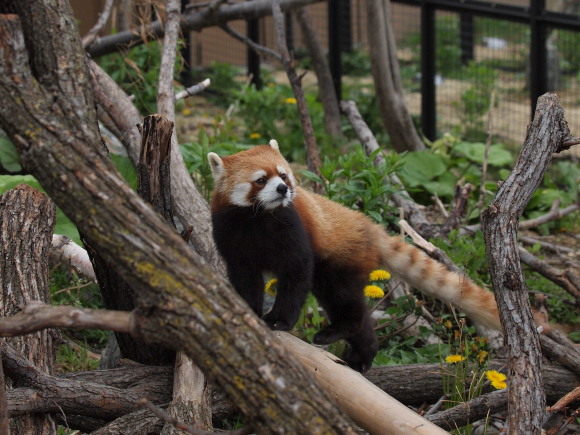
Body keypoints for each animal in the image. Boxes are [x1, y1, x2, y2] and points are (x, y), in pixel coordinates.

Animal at [208, 140, 544, 372]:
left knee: (342, 298)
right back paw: (362, 355)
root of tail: (371, 227)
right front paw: (246, 308)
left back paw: (338, 330)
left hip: (343, 259)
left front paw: (279, 320)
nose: (282, 189)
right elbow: (244, 277)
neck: (257, 220)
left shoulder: (293, 228)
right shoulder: (231, 235)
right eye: (260, 180)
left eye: (283, 175)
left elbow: (296, 273)